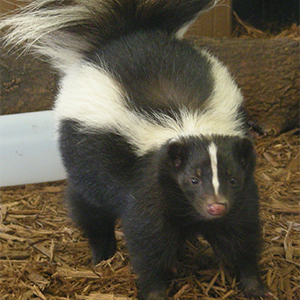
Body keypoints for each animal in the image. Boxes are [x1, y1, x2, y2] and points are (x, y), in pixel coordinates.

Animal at [0, 0, 274, 300]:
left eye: (233, 178)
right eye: (192, 178)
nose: (215, 206)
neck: (188, 121)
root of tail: (128, 33)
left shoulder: (240, 192)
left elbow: (242, 232)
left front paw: (254, 285)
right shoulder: (146, 185)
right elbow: (148, 243)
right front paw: (155, 291)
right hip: (82, 159)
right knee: (88, 207)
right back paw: (101, 254)